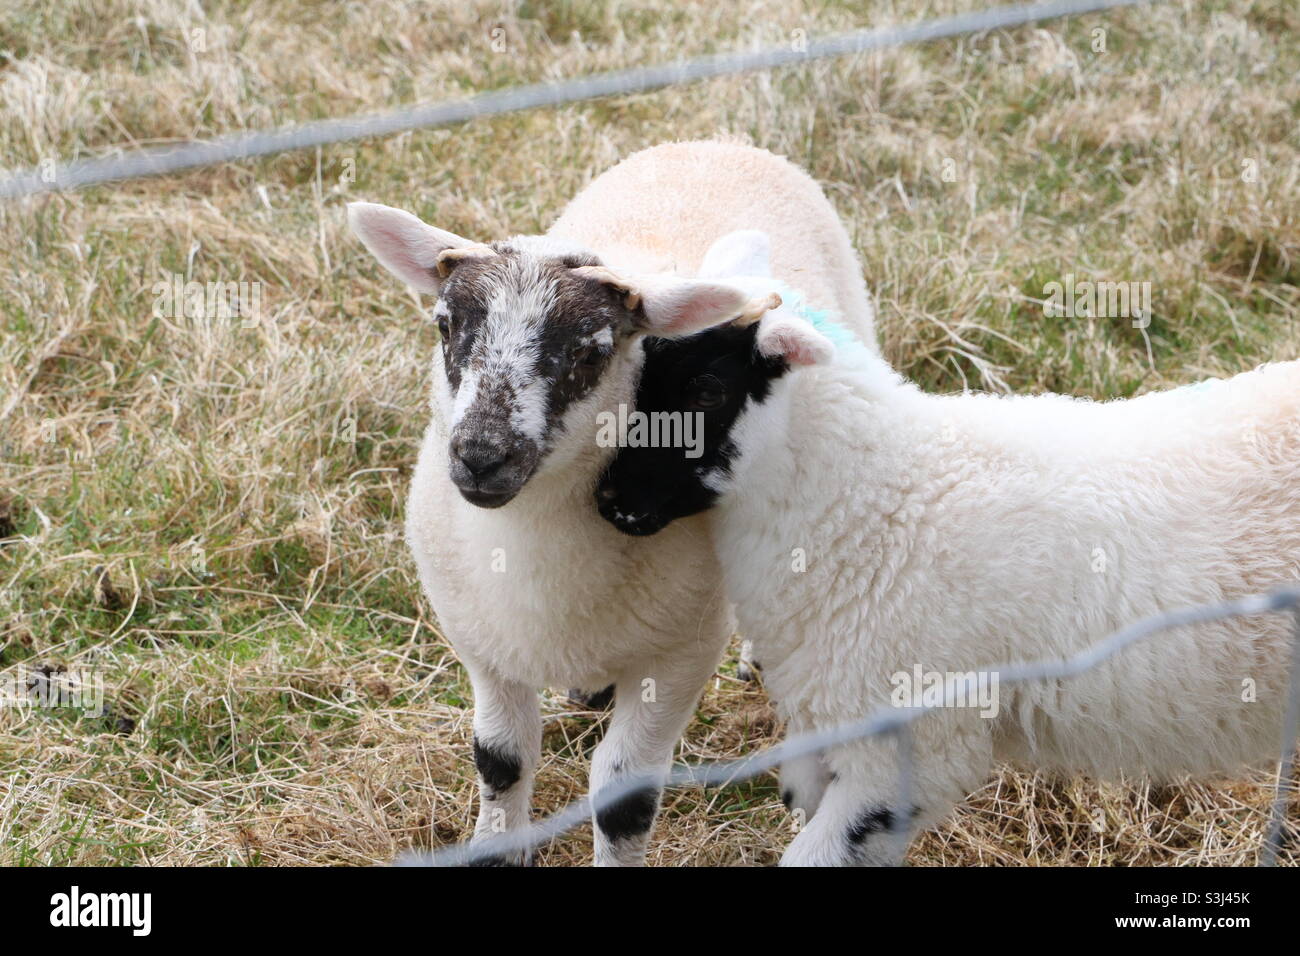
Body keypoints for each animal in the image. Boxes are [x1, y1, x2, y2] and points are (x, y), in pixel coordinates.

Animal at [345, 141, 878, 868]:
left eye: (591, 351)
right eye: (446, 326)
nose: (482, 456)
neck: (532, 545)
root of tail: (717, 141)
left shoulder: (678, 658)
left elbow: (624, 796)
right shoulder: (483, 645)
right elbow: (501, 759)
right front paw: (497, 846)